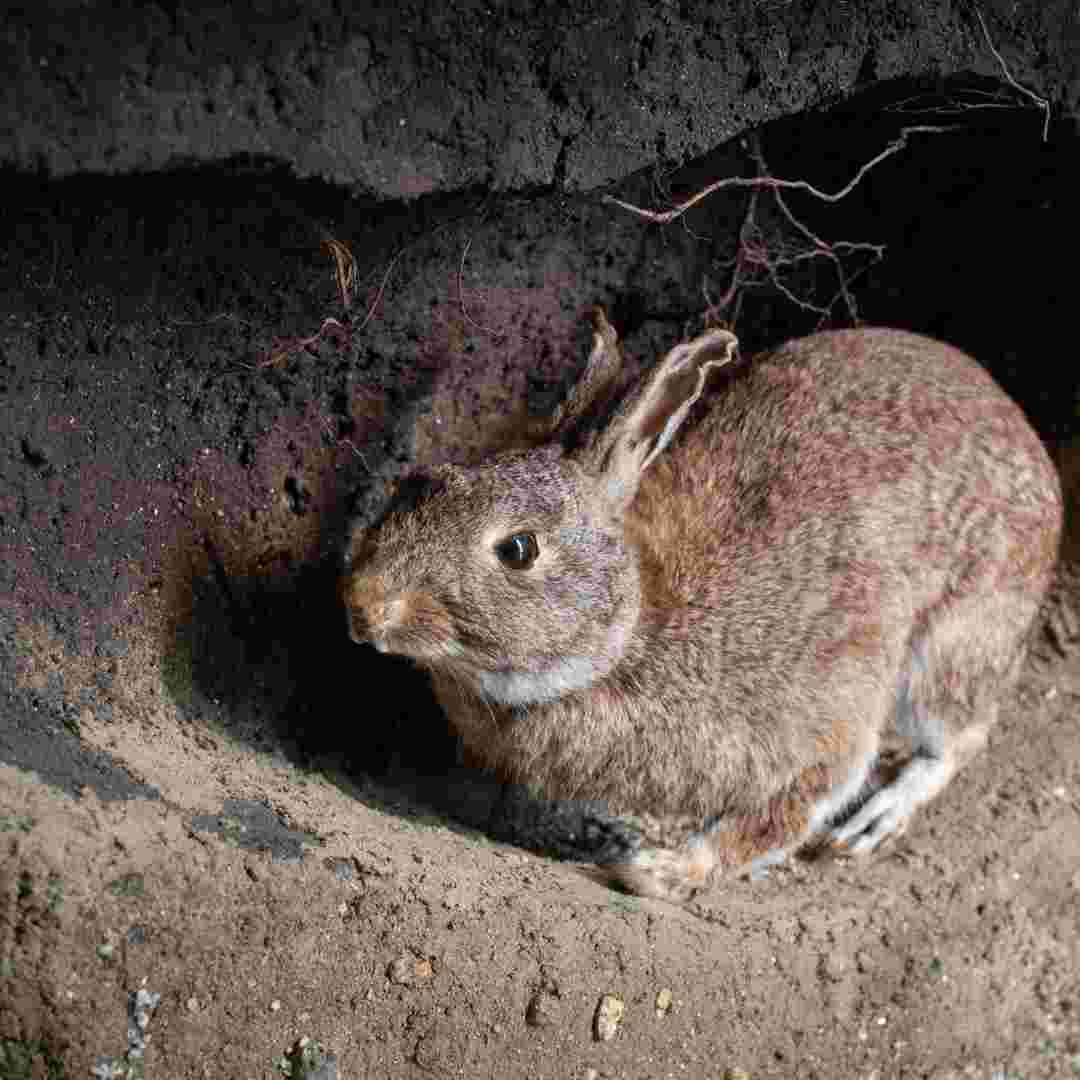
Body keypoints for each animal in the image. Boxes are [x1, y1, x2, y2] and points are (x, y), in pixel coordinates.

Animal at [339, 308, 1062, 898]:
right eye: (419, 483)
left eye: (517, 549)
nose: (364, 606)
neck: (632, 630)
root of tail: (1033, 450)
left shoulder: (824, 720)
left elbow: (785, 813)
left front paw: (658, 872)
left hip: (955, 641)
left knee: (958, 734)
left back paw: (879, 817)